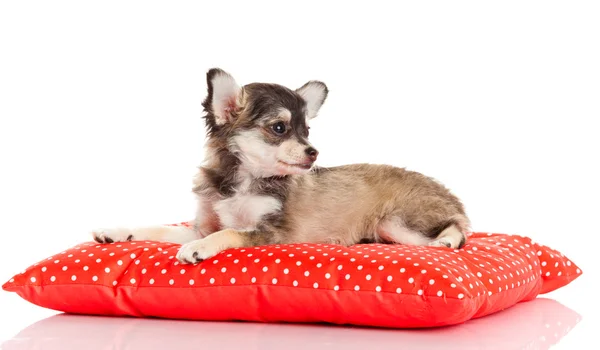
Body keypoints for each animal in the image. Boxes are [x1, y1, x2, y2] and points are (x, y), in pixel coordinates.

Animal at [92, 68, 468, 264]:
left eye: (307, 130)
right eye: (279, 128)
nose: (314, 152)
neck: (242, 180)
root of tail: (449, 194)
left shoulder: (272, 233)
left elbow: (230, 232)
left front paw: (198, 249)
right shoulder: (201, 224)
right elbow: (158, 229)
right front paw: (117, 231)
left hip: (397, 222)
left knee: (458, 230)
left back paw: (446, 242)